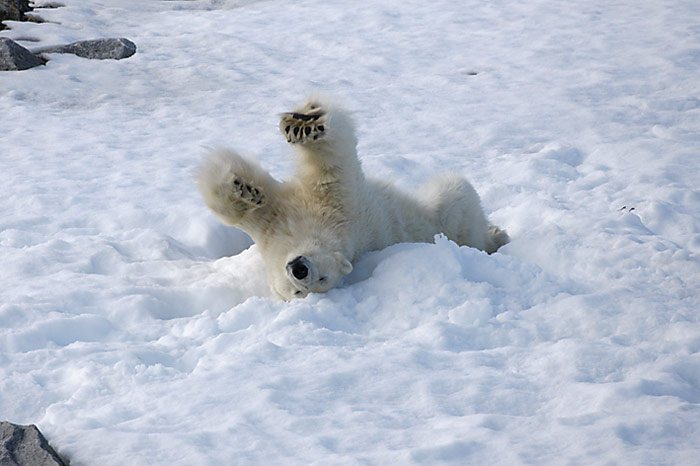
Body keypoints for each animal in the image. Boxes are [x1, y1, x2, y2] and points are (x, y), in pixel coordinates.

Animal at [197, 96, 508, 300]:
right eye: (297, 291)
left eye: (324, 279)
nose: (300, 270)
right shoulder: (274, 221)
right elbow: (229, 206)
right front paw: (245, 189)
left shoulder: (340, 205)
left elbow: (332, 162)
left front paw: (305, 121)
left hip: (447, 217)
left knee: (455, 194)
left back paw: (496, 234)